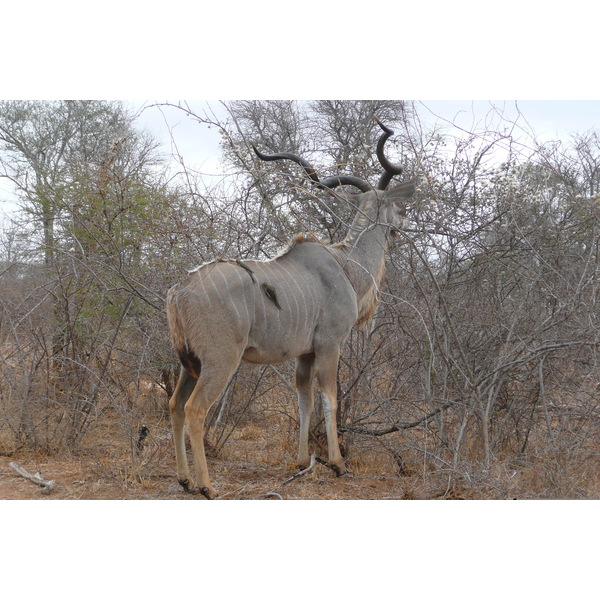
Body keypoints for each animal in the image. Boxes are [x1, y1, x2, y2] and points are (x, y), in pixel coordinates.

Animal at [166, 117, 414, 496]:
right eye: (399, 207)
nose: (402, 226)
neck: (346, 264)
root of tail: (180, 291)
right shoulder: (329, 345)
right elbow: (329, 397)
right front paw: (337, 464)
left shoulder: (305, 354)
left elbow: (304, 398)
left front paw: (301, 462)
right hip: (219, 360)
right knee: (195, 410)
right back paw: (208, 487)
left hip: (188, 363)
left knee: (175, 406)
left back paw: (184, 480)